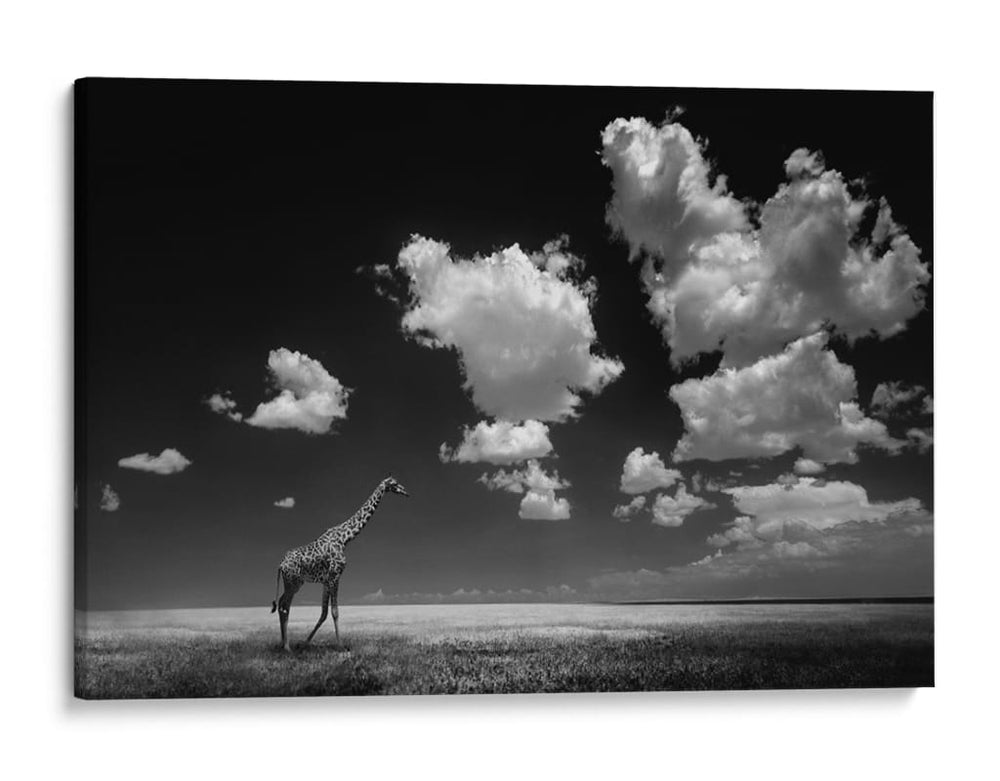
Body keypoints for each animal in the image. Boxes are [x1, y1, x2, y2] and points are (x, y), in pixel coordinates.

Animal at [270, 475, 409, 651]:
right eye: (395, 483)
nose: (406, 492)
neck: (345, 538)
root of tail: (280, 565)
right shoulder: (336, 576)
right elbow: (335, 612)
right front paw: (340, 645)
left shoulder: (326, 581)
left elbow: (323, 613)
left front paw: (305, 642)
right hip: (293, 583)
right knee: (284, 606)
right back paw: (287, 647)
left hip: (294, 583)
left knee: (283, 605)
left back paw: (283, 644)